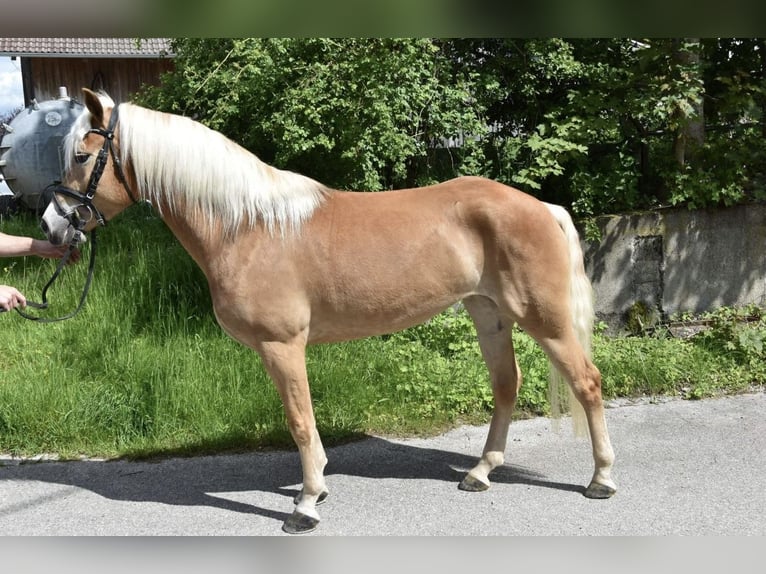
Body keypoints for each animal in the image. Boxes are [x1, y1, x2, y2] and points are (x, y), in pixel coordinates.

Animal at [40, 89, 616, 536]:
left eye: (83, 157)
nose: (51, 224)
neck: (247, 227)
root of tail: (543, 208)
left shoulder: (282, 346)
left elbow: (299, 421)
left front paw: (305, 504)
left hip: (544, 320)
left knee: (587, 382)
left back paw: (601, 479)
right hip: (488, 313)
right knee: (506, 385)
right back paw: (480, 472)